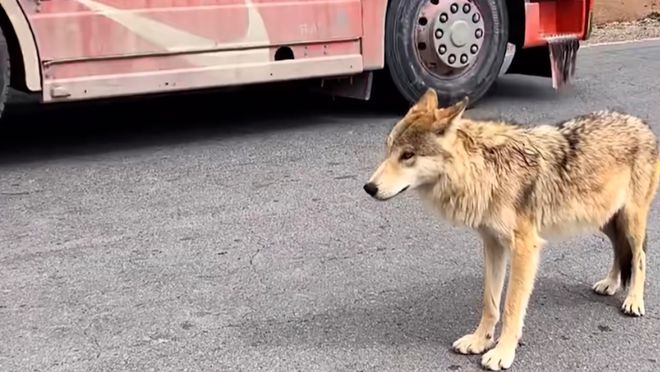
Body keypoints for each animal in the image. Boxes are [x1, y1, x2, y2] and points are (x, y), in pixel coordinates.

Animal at [364, 88, 656, 370]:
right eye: (389, 150)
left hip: (630, 220)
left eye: (408, 155)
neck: (486, 170)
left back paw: (634, 300)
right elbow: (490, 303)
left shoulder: (525, 248)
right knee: (620, 249)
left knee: (640, 256)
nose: (368, 188)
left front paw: (502, 354)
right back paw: (610, 284)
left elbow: (511, 307)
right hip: (603, 220)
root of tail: (642, 123)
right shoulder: (492, 244)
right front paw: (480, 341)